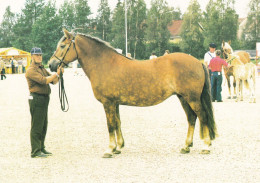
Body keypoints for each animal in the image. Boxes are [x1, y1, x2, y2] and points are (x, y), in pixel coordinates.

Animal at [49, 29, 217, 158]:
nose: (51, 65)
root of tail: (198, 62)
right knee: (192, 118)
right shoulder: (115, 103)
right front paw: (118, 147)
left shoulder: (108, 103)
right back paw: (186, 146)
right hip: (183, 98)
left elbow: (110, 125)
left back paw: (206, 146)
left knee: (202, 116)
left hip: (192, 98)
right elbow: (117, 122)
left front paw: (109, 149)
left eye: (62, 46)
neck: (104, 64)